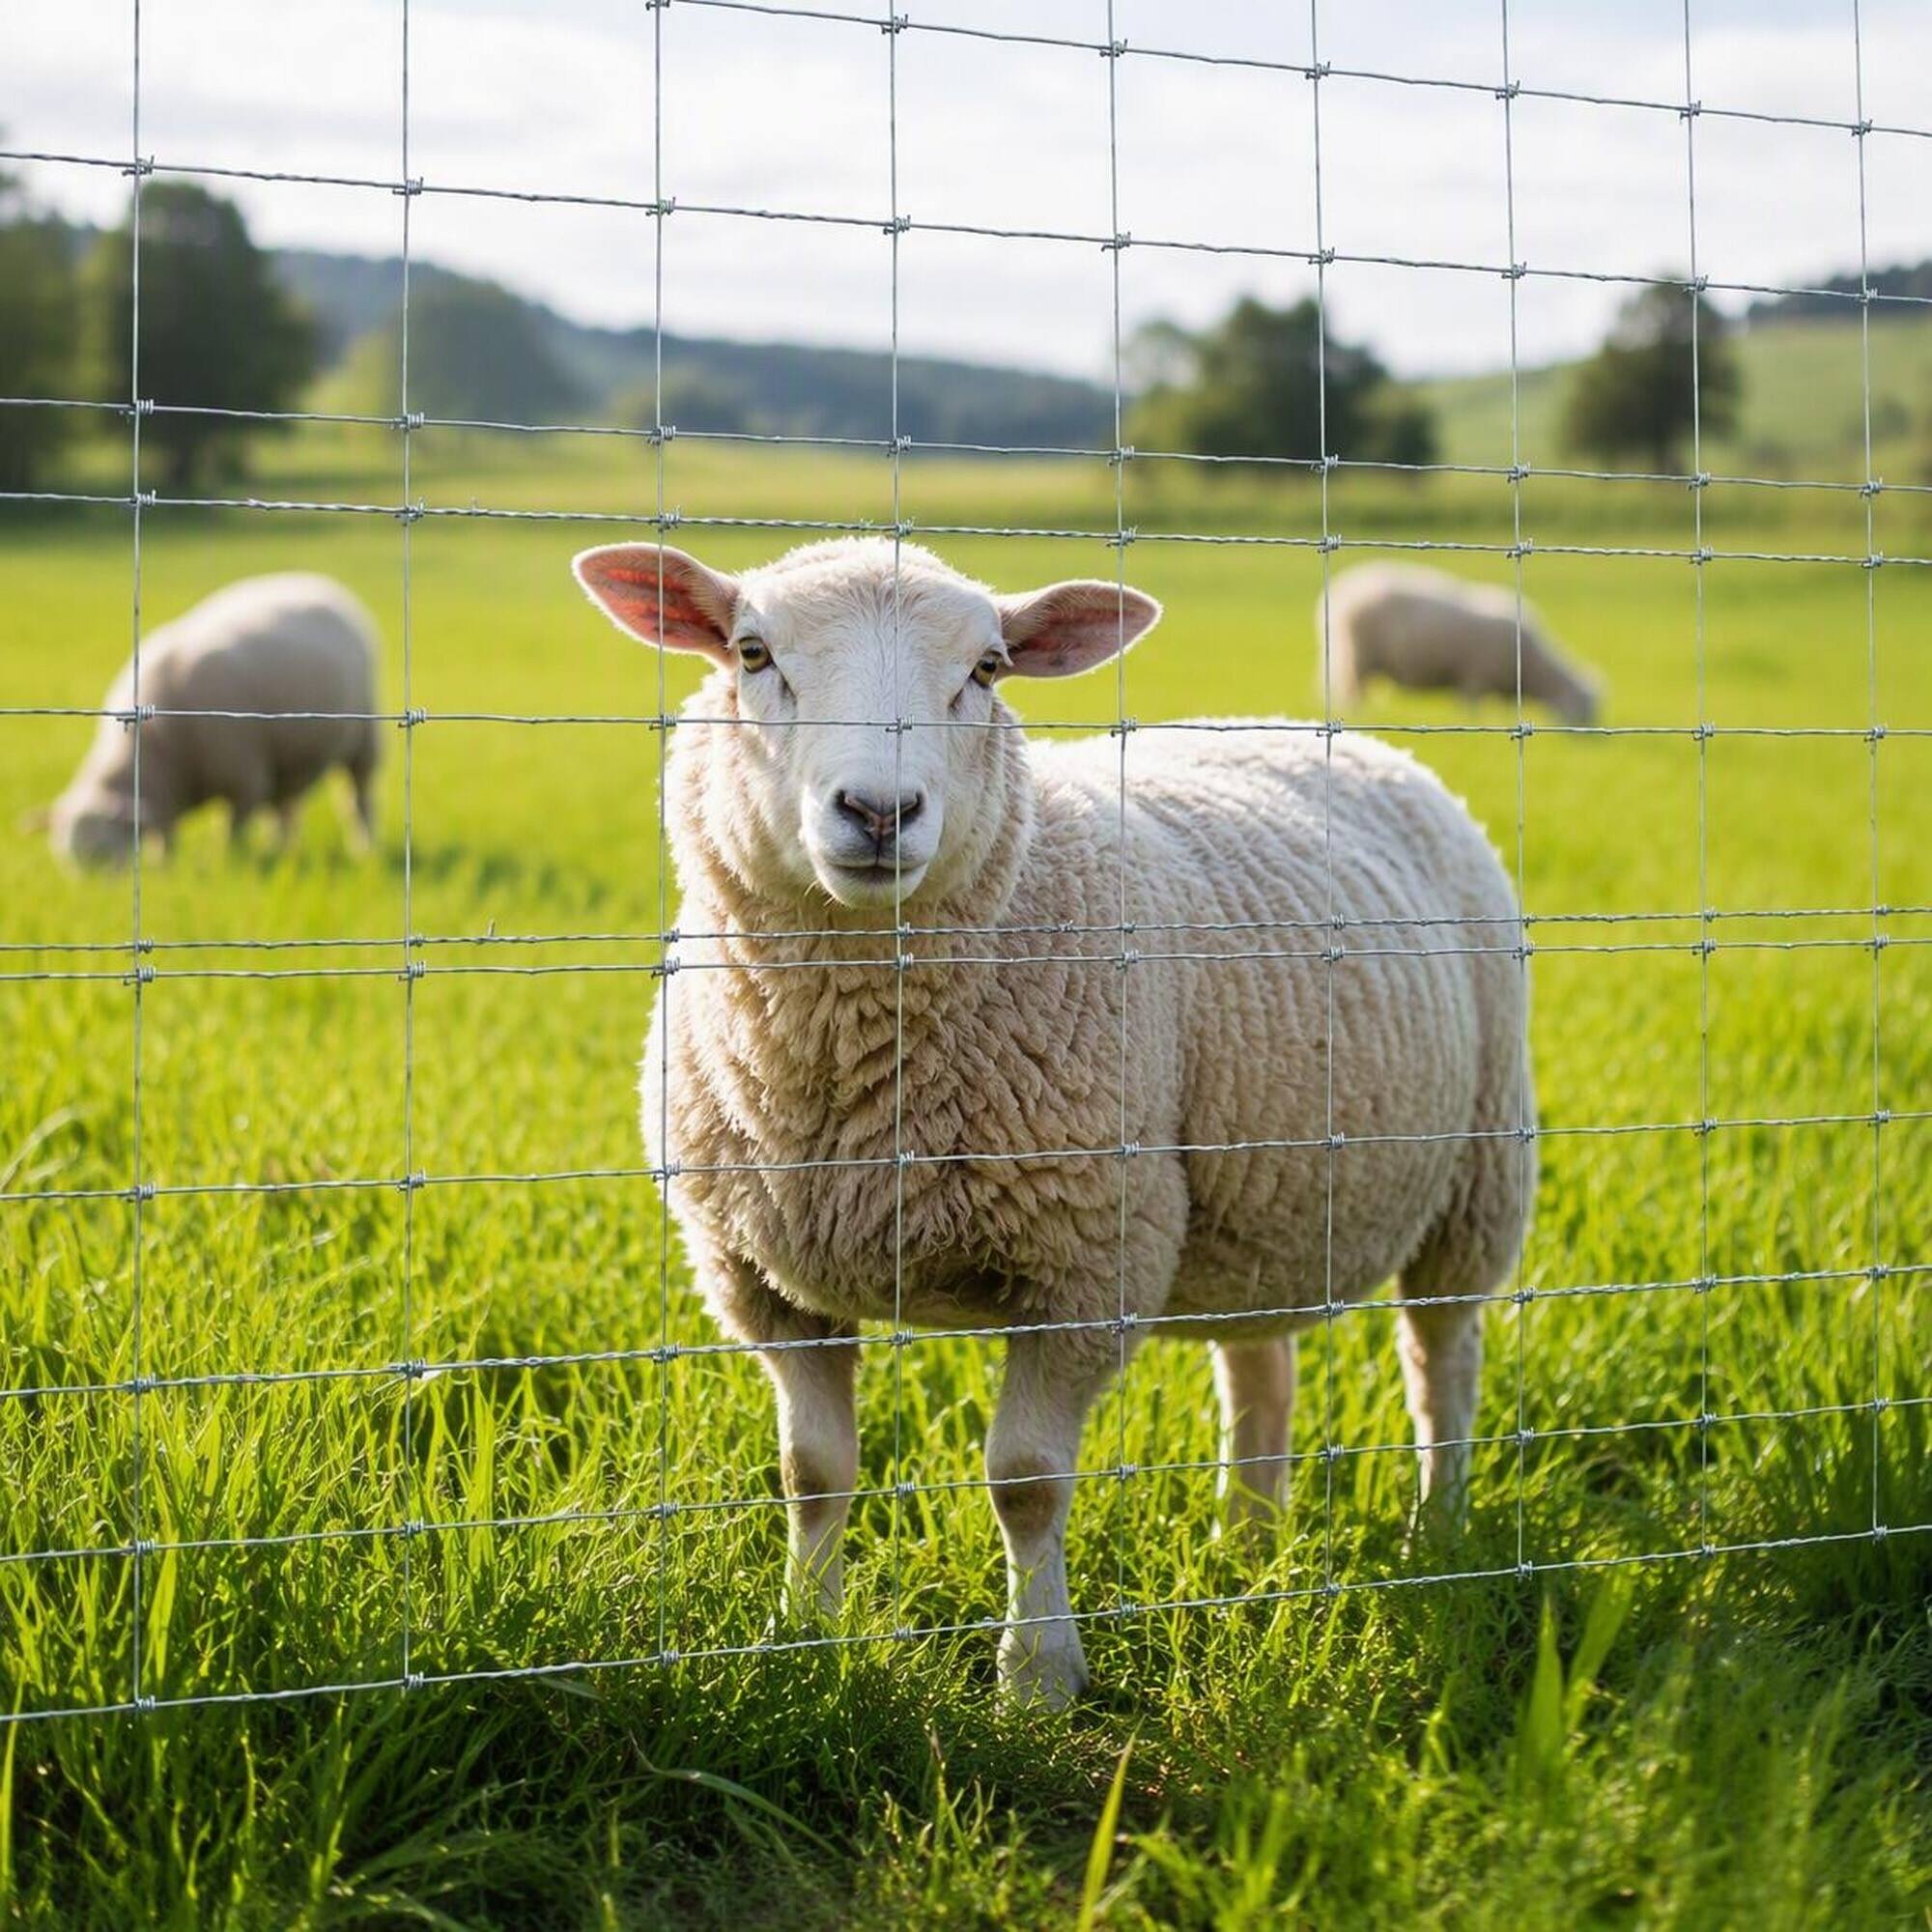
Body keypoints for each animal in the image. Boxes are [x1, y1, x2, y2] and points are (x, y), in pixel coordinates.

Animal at [32, 573, 380, 863]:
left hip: (365, 740)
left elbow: (232, 831)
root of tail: (321, 581)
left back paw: (364, 850)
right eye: (68, 860)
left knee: (358, 799)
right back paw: (283, 850)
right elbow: (165, 835)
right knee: (285, 807)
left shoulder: (244, 780)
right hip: (288, 760)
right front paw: (163, 866)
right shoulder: (168, 796)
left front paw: (228, 863)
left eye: (103, 852)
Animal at [575, 536, 1535, 1707]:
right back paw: (1247, 1544)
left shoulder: (1085, 1262)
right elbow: (811, 1474)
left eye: (987, 669)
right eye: (752, 653)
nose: (879, 810)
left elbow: (1024, 1482)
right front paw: (803, 1636)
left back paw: (1435, 1531)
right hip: (1256, 1194)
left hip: (1478, 1173)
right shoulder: (760, 1279)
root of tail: (1317, 729)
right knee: (1261, 1367)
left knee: (1441, 1365)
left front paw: (1035, 1674)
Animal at [1318, 561, 1602, 723]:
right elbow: (1471, 707)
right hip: (1358, 657)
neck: (1535, 666)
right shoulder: (1476, 678)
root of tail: (1340, 590)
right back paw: (1359, 715)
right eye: (1584, 709)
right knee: (1353, 692)